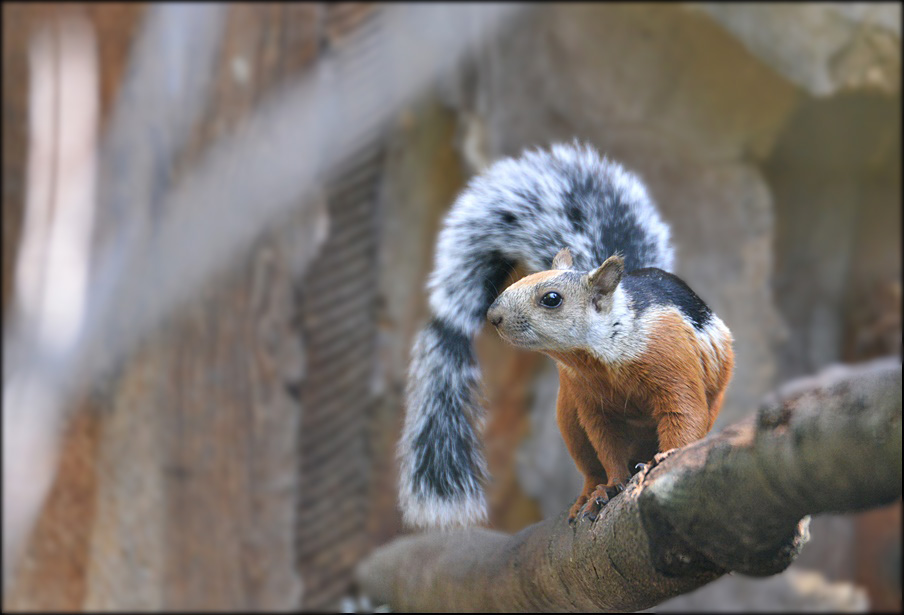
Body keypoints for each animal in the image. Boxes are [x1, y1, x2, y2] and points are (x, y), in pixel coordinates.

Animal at [400, 142, 732, 528]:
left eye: (552, 299)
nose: (492, 316)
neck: (606, 356)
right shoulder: (592, 404)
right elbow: (607, 448)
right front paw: (613, 484)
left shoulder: (674, 369)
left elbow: (683, 417)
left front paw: (663, 459)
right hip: (569, 419)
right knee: (590, 464)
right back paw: (591, 493)